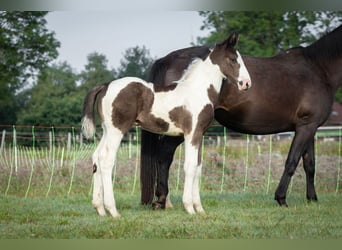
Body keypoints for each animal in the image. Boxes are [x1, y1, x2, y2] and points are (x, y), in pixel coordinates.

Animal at [80, 33, 251, 217]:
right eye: (233, 59)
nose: (246, 83)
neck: (198, 90)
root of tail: (105, 86)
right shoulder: (191, 134)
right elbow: (190, 167)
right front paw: (190, 208)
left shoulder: (199, 135)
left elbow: (198, 168)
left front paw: (200, 209)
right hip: (117, 131)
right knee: (106, 160)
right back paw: (113, 211)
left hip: (107, 130)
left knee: (96, 157)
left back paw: (100, 209)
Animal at [140, 24, 342, 209]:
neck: (318, 69)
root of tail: (168, 59)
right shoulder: (306, 127)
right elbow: (292, 162)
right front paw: (281, 198)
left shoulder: (309, 127)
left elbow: (310, 164)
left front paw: (312, 199)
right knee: (164, 156)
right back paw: (162, 200)